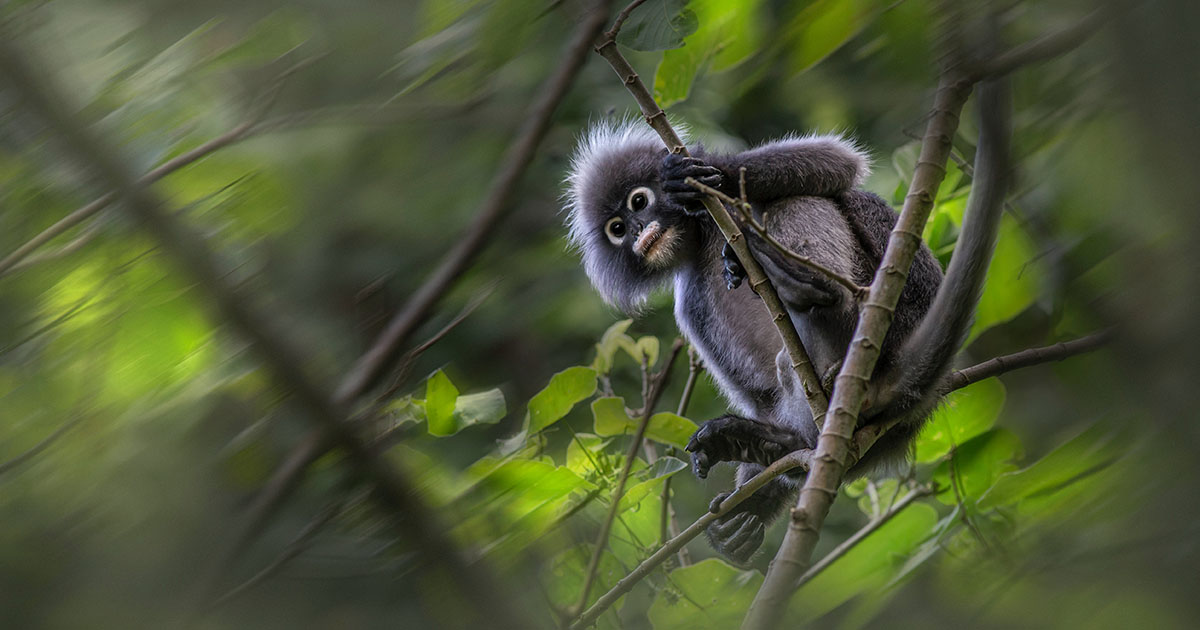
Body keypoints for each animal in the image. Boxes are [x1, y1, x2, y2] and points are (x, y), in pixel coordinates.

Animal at [561, 111, 1003, 559]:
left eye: (638, 202)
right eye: (616, 229)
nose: (637, 232)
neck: (705, 238)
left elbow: (837, 162)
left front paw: (693, 177)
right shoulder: (690, 300)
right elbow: (761, 396)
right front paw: (751, 506)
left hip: (885, 314)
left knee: (804, 201)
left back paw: (807, 288)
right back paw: (771, 444)